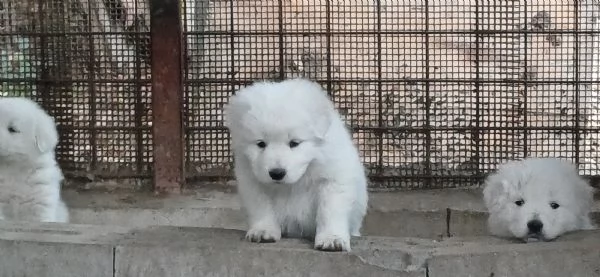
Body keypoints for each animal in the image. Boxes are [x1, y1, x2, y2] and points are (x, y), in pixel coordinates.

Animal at [224, 78, 368, 251]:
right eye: (261, 143)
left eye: (294, 143)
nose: (277, 173)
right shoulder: (252, 179)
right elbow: (261, 206)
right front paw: (263, 231)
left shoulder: (332, 178)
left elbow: (329, 210)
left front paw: (332, 239)